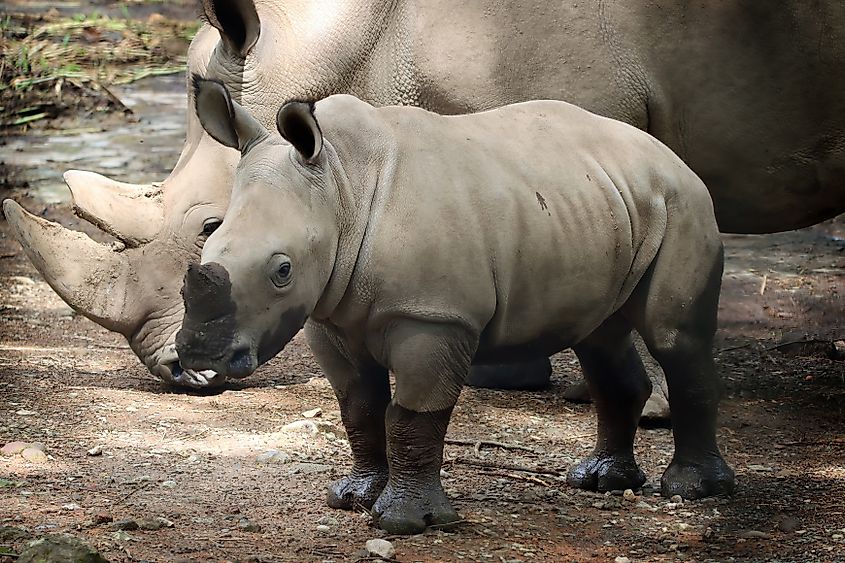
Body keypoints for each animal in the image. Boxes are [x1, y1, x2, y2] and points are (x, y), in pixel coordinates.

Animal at [175, 78, 735, 534]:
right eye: (208, 240)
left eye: (282, 270)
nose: (200, 353)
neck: (340, 187)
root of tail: (669, 155)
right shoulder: (328, 316)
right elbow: (359, 407)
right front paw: (353, 498)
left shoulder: (434, 317)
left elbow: (413, 416)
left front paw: (406, 522)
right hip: (603, 202)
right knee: (600, 337)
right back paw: (598, 481)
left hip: (683, 203)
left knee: (674, 339)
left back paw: (692, 490)